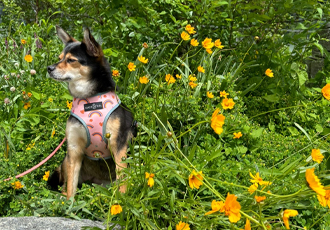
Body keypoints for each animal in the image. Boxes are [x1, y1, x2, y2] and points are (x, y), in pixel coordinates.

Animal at [46, 26, 135, 199]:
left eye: (71, 60)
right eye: (60, 58)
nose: (49, 68)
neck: (89, 100)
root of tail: (97, 181)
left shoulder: (118, 145)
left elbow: (123, 177)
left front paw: (121, 199)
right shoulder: (74, 148)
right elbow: (71, 187)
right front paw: (69, 203)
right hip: (66, 161)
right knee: (66, 183)